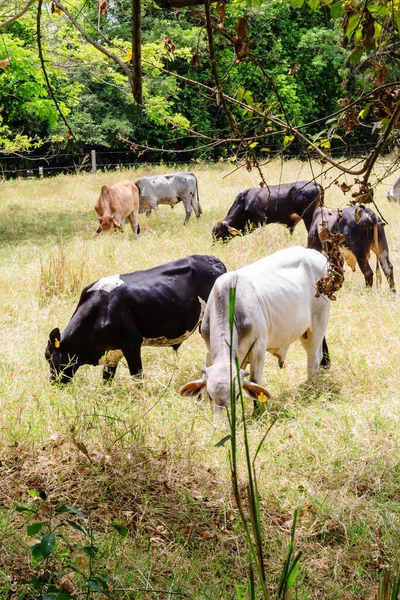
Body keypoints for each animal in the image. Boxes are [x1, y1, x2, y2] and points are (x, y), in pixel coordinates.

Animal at [45, 254, 227, 384]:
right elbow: (106, 380)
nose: (53, 383)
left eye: (50, 359)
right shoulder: (113, 351)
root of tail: (214, 260)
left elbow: (137, 377)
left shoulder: (132, 343)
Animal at [180, 246, 330, 410]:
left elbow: (255, 381)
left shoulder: (258, 348)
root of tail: (314, 253)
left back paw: (310, 389)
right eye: (210, 395)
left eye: (236, 396)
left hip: (319, 321)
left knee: (314, 359)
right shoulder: (210, 350)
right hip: (304, 332)